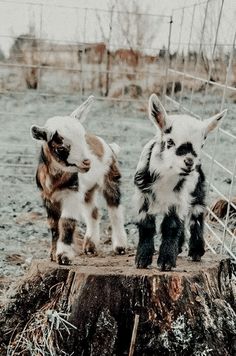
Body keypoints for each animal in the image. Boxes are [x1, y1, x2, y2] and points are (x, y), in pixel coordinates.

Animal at [31, 95, 128, 264]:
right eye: (61, 148)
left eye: (83, 140)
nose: (87, 162)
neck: (56, 179)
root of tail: (108, 145)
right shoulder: (47, 198)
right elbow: (53, 225)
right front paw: (53, 254)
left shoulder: (71, 194)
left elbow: (66, 221)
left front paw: (64, 256)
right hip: (88, 190)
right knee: (93, 212)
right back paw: (90, 246)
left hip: (111, 178)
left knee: (115, 210)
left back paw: (120, 247)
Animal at [134, 93, 226, 272]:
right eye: (170, 142)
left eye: (202, 144)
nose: (189, 162)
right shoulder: (142, 195)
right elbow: (147, 225)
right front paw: (142, 260)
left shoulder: (178, 198)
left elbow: (171, 226)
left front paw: (166, 262)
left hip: (198, 190)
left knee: (197, 215)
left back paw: (196, 251)